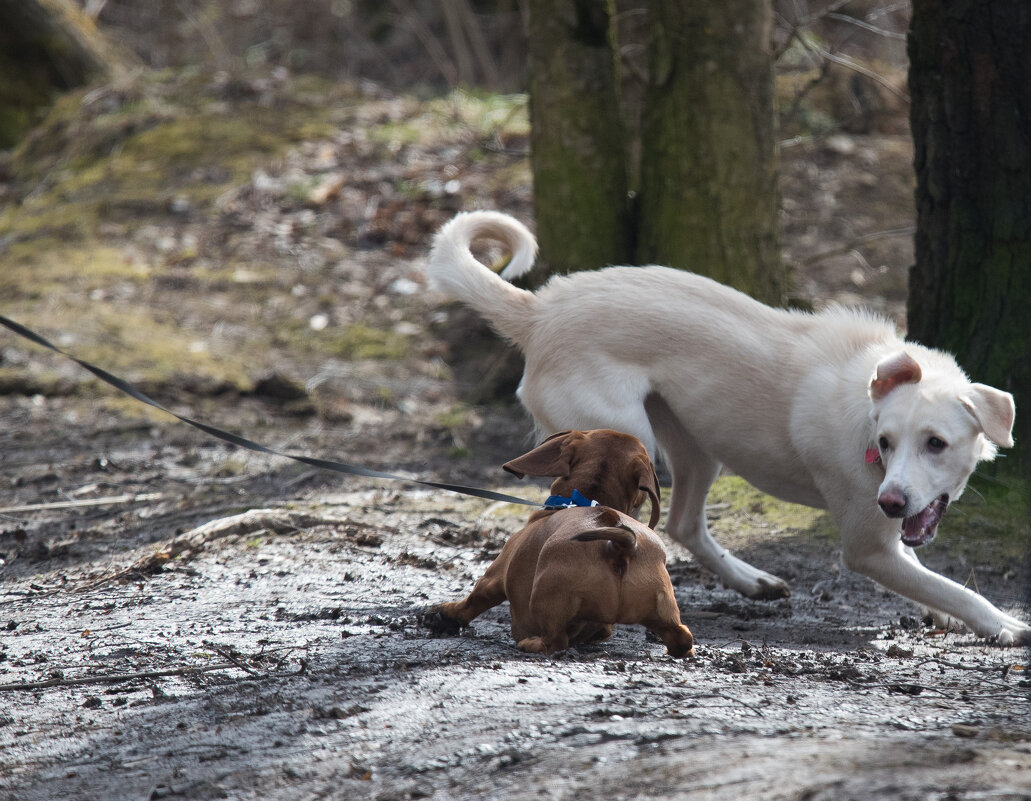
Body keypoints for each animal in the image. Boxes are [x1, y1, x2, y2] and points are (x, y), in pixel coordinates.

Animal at [424, 211, 1022, 643]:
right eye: (886, 443)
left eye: (935, 444)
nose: (892, 502)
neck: (864, 406)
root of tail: (539, 310)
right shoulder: (866, 548)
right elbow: (956, 588)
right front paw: (1004, 626)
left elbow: (927, 572)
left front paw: (943, 612)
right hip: (624, 439)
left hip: (695, 446)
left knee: (684, 524)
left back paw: (751, 582)